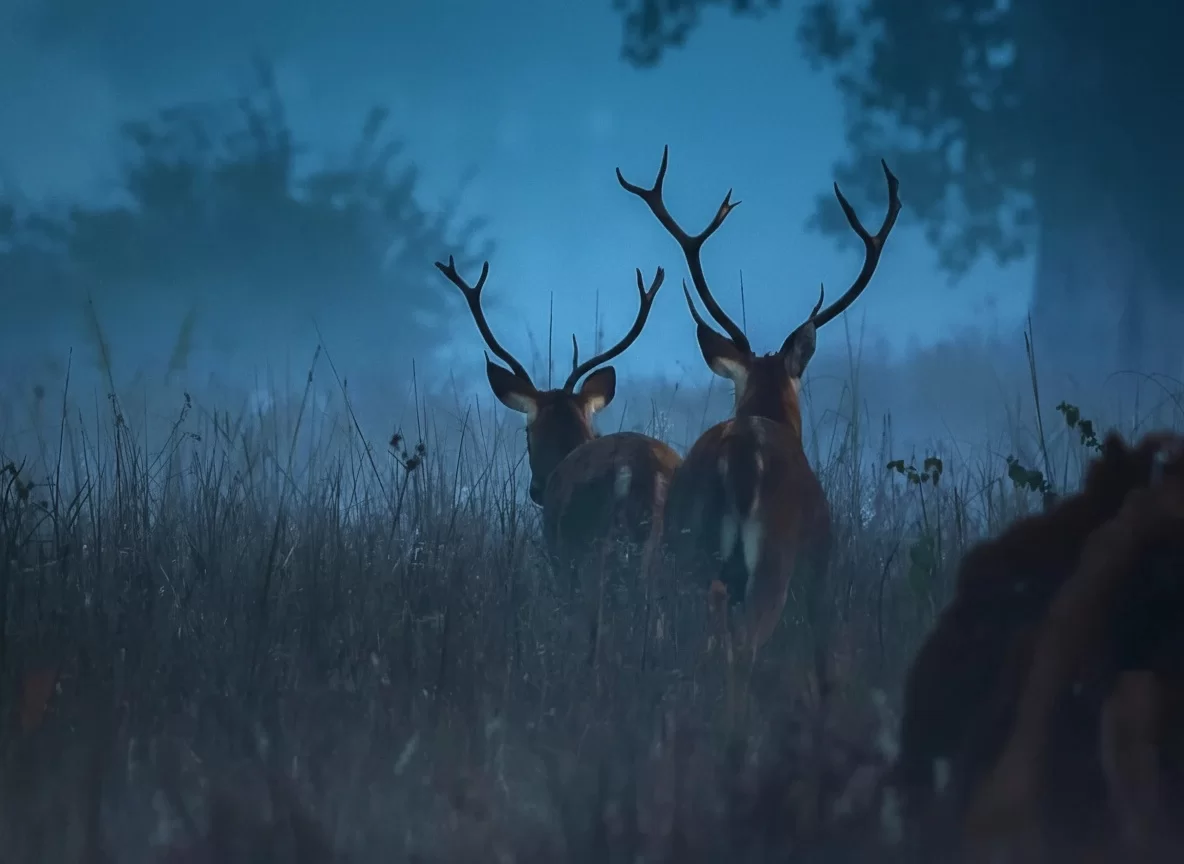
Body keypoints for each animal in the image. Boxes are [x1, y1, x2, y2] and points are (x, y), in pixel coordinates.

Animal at [616, 146, 901, 722]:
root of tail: (741, 457)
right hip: (773, 555)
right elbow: (820, 647)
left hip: (687, 549)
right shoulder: (821, 559)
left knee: (699, 640)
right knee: (744, 645)